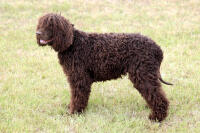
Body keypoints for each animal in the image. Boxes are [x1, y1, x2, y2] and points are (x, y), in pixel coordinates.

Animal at [35, 13, 172, 121]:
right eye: (40, 24)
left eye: (51, 25)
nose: (38, 33)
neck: (73, 43)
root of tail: (157, 48)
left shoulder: (80, 79)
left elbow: (78, 97)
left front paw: (74, 113)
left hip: (142, 74)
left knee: (157, 95)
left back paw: (157, 117)